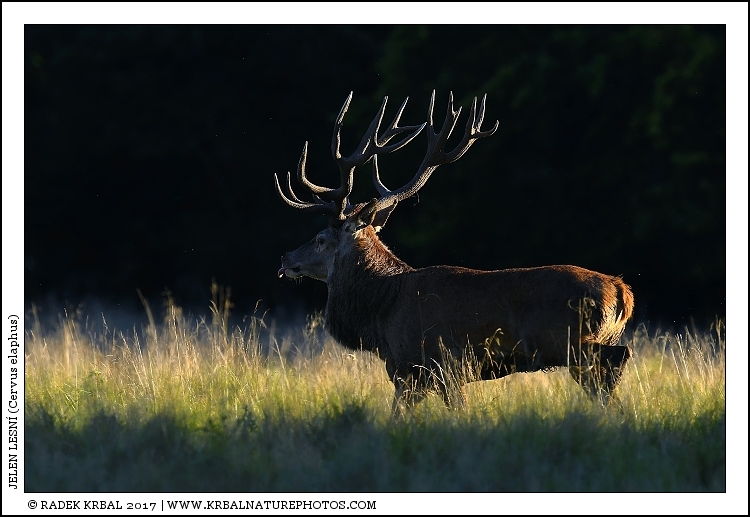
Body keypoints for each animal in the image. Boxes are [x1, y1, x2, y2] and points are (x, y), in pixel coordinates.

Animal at [275, 91, 634, 417]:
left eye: (320, 238)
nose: (286, 259)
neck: (382, 313)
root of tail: (622, 290)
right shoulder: (417, 374)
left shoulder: (433, 363)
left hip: (571, 342)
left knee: (616, 362)